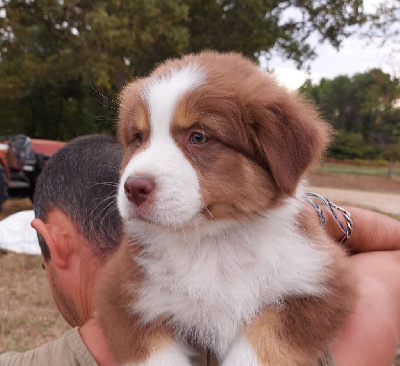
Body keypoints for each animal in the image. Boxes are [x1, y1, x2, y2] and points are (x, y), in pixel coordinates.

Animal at [97, 52, 356, 366]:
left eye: (198, 137)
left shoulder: (324, 280)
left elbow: (268, 334)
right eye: (137, 137)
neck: (214, 241)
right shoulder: (121, 291)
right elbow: (155, 353)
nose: (134, 188)